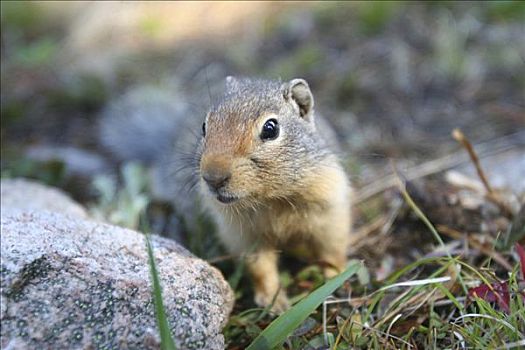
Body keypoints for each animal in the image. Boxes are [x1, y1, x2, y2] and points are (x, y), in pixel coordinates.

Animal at [98, 78, 352, 314]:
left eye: (271, 129)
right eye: (204, 126)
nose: (213, 178)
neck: (271, 199)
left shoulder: (329, 212)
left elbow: (332, 249)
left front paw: (338, 277)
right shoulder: (243, 235)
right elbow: (260, 268)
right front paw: (274, 302)